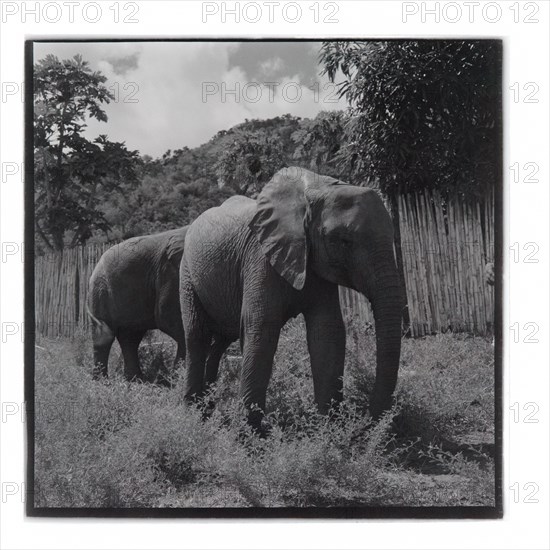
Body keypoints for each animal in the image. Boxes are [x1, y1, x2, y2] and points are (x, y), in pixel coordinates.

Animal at [87, 226, 190, 382]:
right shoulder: (171, 273)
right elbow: (170, 317)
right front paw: (179, 379)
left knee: (130, 336)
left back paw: (135, 379)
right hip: (101, 286)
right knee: (105, 334)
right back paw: (101, 381)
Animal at [183, 166, 404, 430]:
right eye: (344, 241)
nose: (366, 423)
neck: (317, 191)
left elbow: (327, 332)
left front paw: (328, 430)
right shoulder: (260, 257)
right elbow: (262, 329)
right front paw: (250, 435)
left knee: (221, 341)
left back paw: (207, 411)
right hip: (187, 272)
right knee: (196, 335)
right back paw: (193, 416)